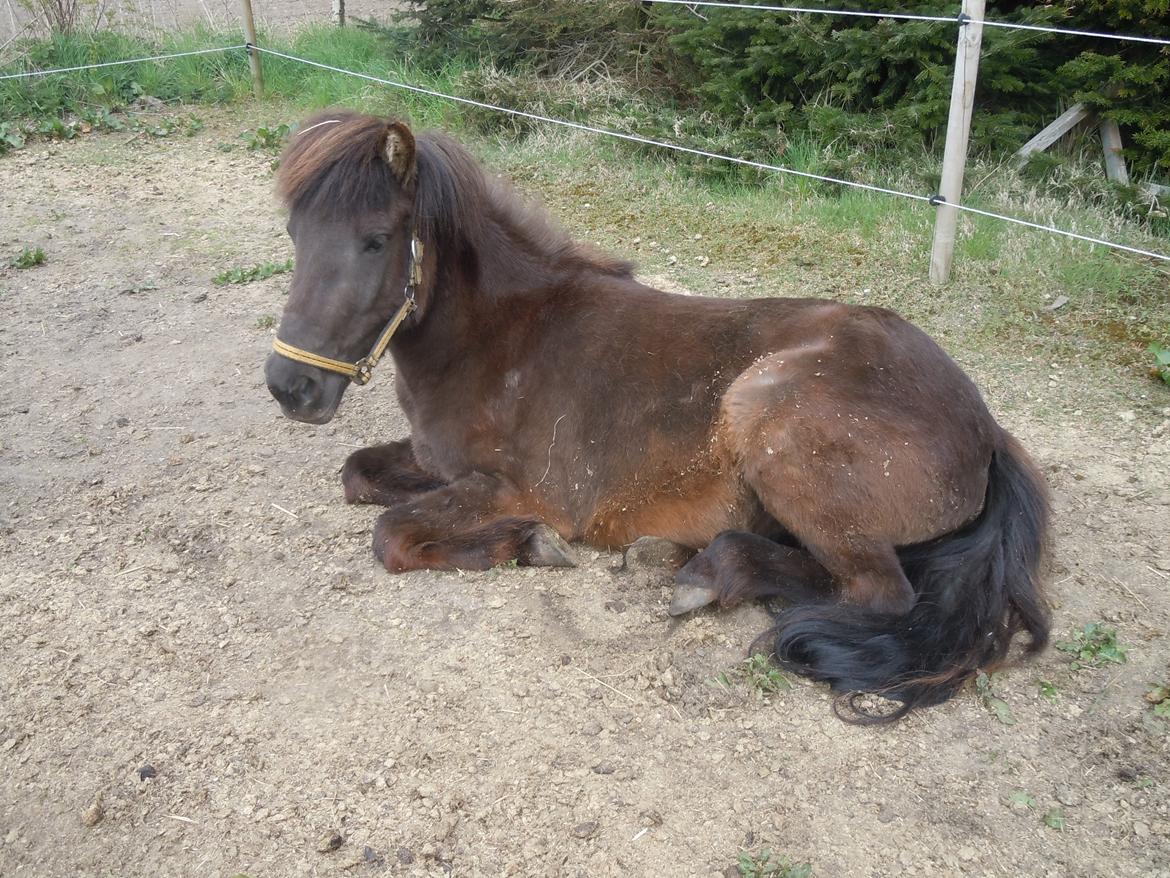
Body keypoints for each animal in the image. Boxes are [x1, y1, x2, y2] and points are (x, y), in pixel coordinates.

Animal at [265, 111, 1053, 721]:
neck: (503, 336)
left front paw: (529, 545)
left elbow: (392, 534)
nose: (289, 387)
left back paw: (705, 575)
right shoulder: (435, 462)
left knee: (877, 591)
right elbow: (357, 474)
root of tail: (986, 430)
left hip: (769, 415)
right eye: (295, 235)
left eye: (375, 239)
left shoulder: (516, 488)